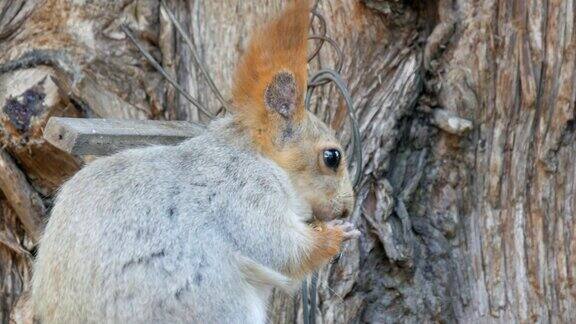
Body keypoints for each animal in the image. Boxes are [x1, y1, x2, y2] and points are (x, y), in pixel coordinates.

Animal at [31, 1, 360, 322]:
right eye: (332, 157)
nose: (347, 207)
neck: (254, 154)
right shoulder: (245, 190)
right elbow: (280, 248)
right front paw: (336, 235)